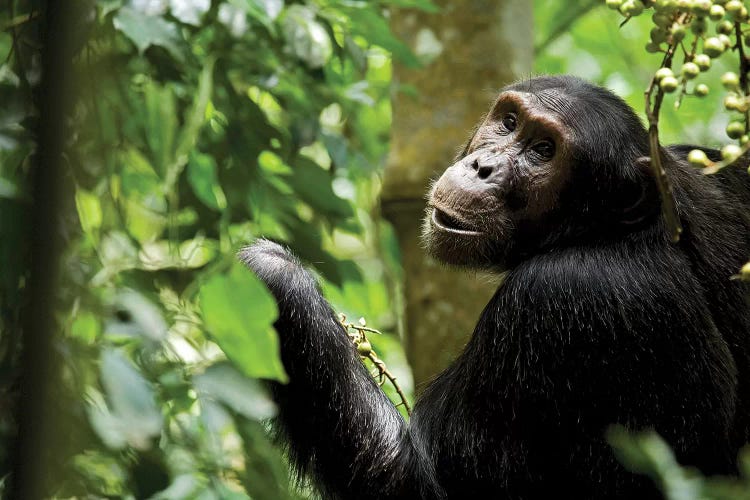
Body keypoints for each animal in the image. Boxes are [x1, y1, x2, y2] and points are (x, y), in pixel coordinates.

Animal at [239, 75, 750, 500]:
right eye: (508, 123)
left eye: (544, 150)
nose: (482, 166)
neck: (612, 230)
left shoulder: (563, 296)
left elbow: (420, 484)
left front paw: (275, 274)